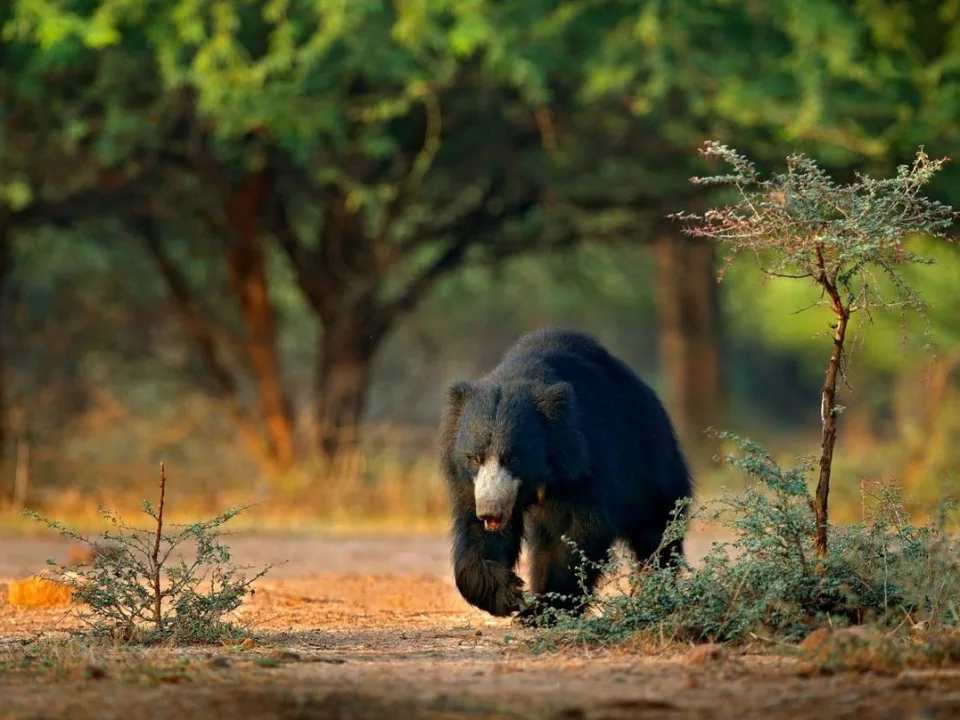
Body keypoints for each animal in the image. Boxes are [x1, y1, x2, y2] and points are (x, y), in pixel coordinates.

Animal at [438, 327, 693, 623]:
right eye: (475, 458)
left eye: (512, 458)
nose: (491, 511)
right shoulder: (471, 484)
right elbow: (476, 534)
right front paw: (508, 593)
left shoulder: (585, 463)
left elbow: (575, 533)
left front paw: (543, 609)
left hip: (651, 464)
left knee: (657, 530)